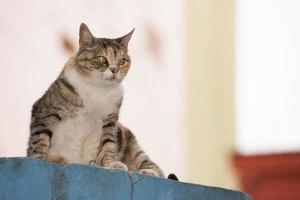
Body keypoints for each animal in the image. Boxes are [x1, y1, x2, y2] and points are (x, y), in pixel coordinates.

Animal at [26, 22, 164, 177]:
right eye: (101, 59)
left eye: (122, 61)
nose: (115, 69)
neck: (98, 90)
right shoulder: (45, 114)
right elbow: (40, 141)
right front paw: (38, 161)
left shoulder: (109, 123)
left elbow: (108, 145)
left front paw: (111, 164)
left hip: (132, 144)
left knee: (156, 168)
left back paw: (146, 172)